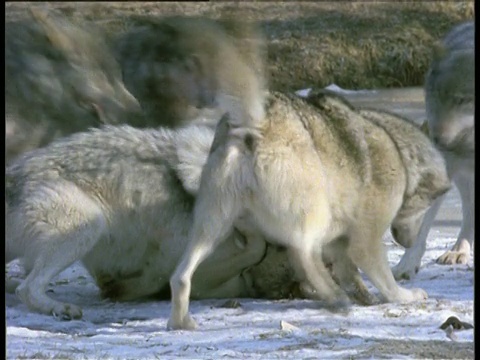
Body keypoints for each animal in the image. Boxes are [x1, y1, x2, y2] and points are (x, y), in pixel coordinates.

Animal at [169, 88, 450, 330]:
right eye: (431, 206)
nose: (408, 242)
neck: (400, 154)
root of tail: (252, 123)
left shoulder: (340, 243)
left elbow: (352, 274)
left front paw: (365, 298)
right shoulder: (364, 241)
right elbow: (384, 280)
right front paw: (404, 296)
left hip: (211, 226)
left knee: (180, 276)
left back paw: (181, 322)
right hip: (314, 212)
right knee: (302, 253)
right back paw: (334, 296)